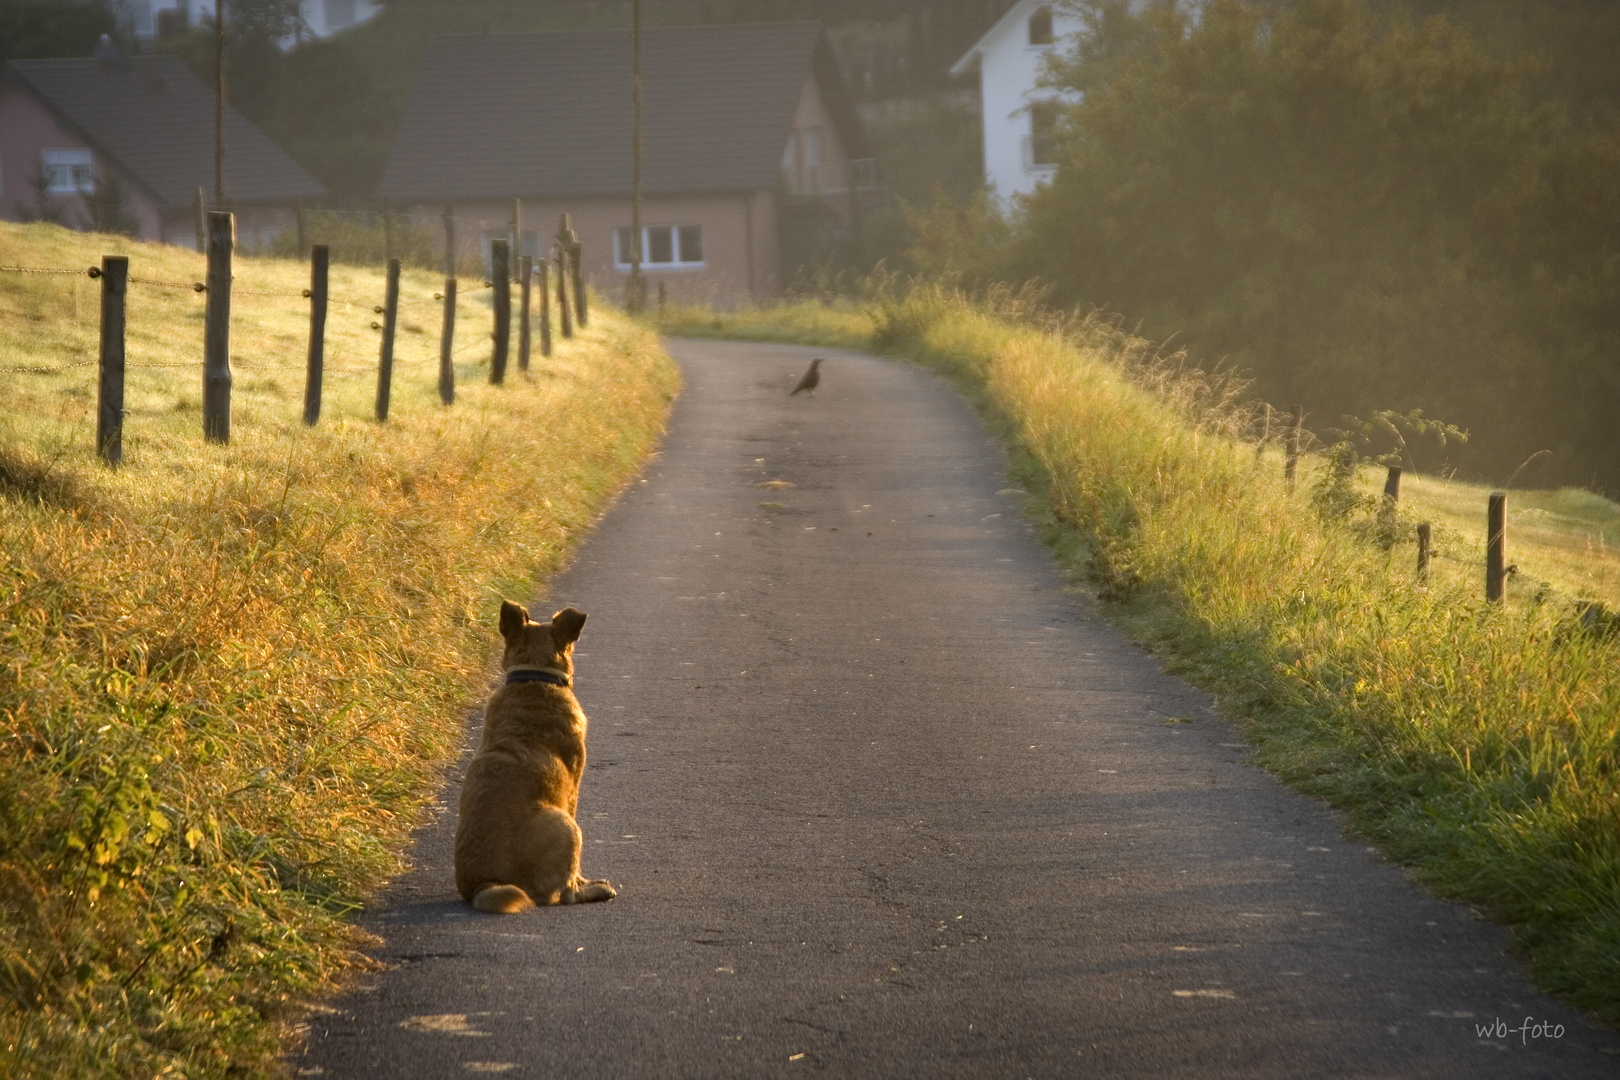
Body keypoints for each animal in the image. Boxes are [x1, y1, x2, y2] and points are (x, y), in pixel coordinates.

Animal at [456, 599, 618, 913]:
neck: (533, 677)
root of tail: (485, 884)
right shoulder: (572, 791)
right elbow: (573, 873)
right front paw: (586, 882)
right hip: (568, 826)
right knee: (563, 893)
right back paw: (595, 890)